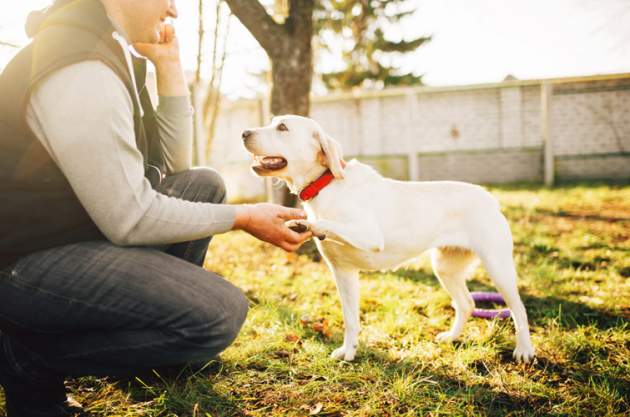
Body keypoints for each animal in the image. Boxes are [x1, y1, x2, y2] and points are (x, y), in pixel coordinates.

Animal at [242, 113, 540, 360]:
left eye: (282, 127)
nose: (244, 132)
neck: (326, 185)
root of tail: (488, 196)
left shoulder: (369, 234)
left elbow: (326, 223)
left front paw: (308, 225)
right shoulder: (343, 273)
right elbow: (350, 319)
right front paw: (348, 352)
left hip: (498, 268)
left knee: (519, 310)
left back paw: (524, 350)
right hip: (445, 268)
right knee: (466, 304)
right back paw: (451, 337)